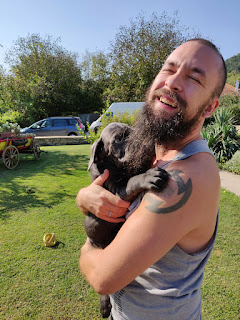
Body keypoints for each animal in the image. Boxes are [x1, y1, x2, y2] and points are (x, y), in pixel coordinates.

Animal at [84, 122, 169, 318]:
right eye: (118, 139)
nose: (147, 140)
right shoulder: (114, 194)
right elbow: (132, 181)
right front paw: (147, 177)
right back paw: (105, 304)